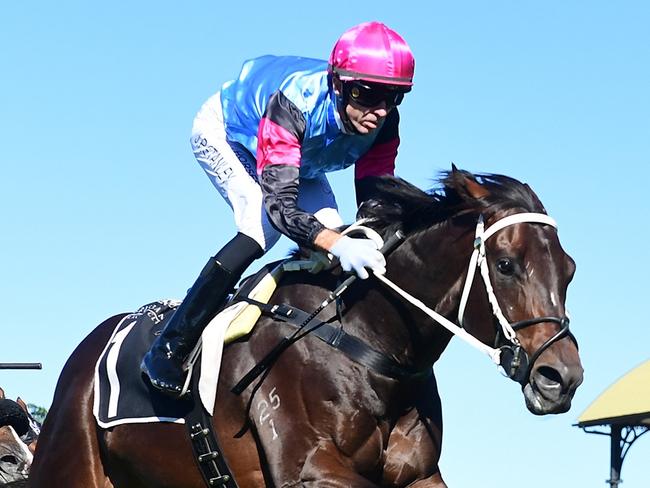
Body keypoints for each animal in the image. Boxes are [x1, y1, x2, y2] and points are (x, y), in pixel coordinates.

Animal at [29, 167, 584, 484]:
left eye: (570, 269)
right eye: (506, 265)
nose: (562, 378)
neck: (367, 340)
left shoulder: (418, 475)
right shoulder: (309, 470)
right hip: (69, 465)